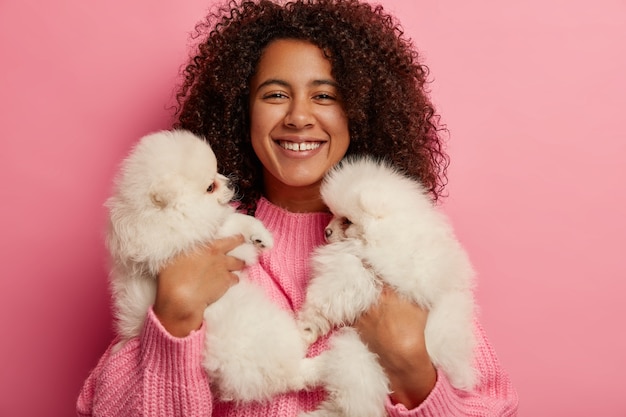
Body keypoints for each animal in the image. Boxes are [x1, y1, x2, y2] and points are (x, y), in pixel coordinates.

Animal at [105, 131, 320, 404]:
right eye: (210, 187)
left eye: (218, 173)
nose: (229, 182)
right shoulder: (198, 240)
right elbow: (231, 222)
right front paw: (260, 237)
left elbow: (232, 218)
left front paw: (260, 236)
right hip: (255, 334)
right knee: (292, 371)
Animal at [294, 157, 476, 416]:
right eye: (333, 215)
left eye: (346, 221)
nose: (326, 231)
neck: (381, 228)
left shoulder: (356, 273)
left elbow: (323, 302)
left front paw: (304, 329)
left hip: (361, 355)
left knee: (348, 397)